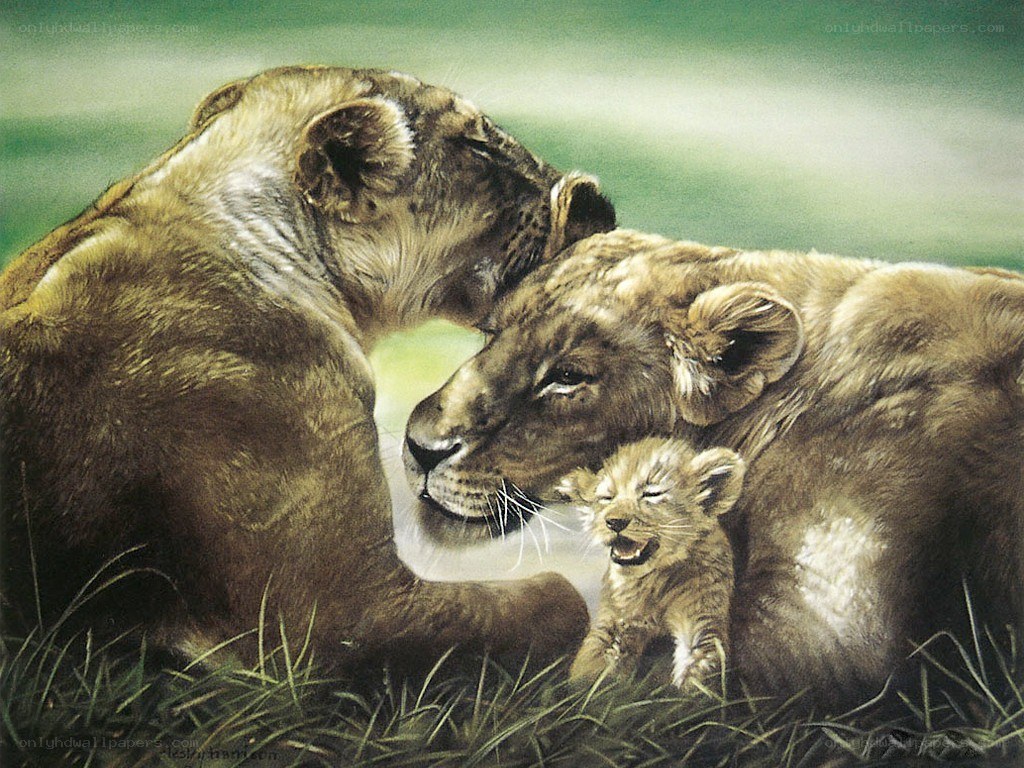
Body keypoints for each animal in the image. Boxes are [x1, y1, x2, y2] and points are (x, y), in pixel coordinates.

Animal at [559, 436, 742, 691]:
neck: (655, 579)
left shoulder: (701, 618)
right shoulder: (616, 621)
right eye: (607, 497)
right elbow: (593, 663)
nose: (614, 521)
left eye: (651, 494)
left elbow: (698, 667)